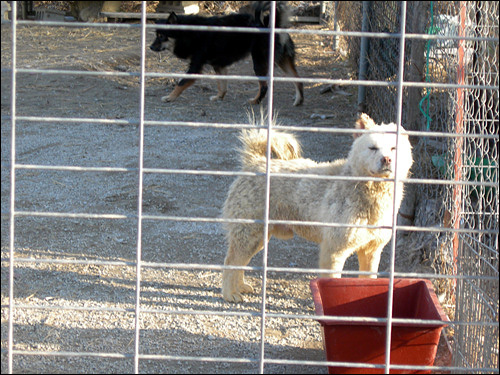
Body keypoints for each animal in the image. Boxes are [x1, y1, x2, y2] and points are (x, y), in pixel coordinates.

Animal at [149, 1, 304, 107]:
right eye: (156, 35)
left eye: (162, 36)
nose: (150, 47)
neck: (188, 33)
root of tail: (271, 24)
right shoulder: (218, 65)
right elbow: (222, 84)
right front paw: (219, 97)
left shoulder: (195, 67)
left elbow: (181, 83)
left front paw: (170, 97)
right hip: (283, 60)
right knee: (298, 79)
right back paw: (299, 100)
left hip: (259, 62)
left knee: (264, 86)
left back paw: (255, 101)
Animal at [221, 114, 412, 302]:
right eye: (372, 148)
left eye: (393, 148)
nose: (386, 159)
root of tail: (256, 162)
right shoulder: (334, 250)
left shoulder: (371, 250)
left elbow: (368, 279)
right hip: (249, 235)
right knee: (230, 262)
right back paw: (230, 294)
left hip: (258, 238)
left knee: (239, 264)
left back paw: (240, 287)